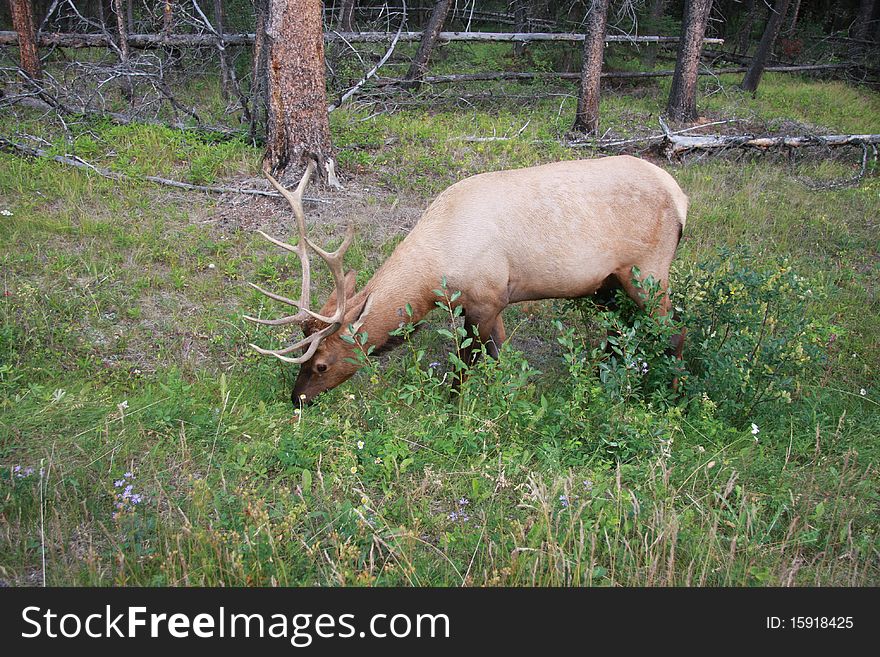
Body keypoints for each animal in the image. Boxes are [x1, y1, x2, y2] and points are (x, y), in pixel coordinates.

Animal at [242, 158, 688, 404]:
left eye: (320, 365)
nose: (297, 399)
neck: (435, 280)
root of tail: (682, 197)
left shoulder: (486, 299)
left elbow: (466, 364)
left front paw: (454, 407)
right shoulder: (493, 301)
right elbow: (499, 354)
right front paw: (509, 394)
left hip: (648, 270)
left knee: (675, 331)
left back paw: (673, 394)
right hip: (609, 283)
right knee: (624, 332)